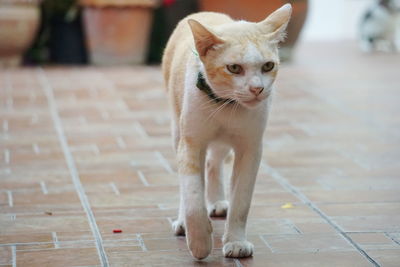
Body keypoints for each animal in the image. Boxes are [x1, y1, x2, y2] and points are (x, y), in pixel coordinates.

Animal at [161, 3, 292, 260]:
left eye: (268, 66)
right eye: (234, 68)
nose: (257, 89)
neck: (226, 105)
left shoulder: (251, 148)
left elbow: (241, 201)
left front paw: (236, 242)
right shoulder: (191, 143)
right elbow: (192, 195)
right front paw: (200, 241)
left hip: (223, 143)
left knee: (214, 162)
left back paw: (217, 202)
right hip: (176, 129)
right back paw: (183, 222)